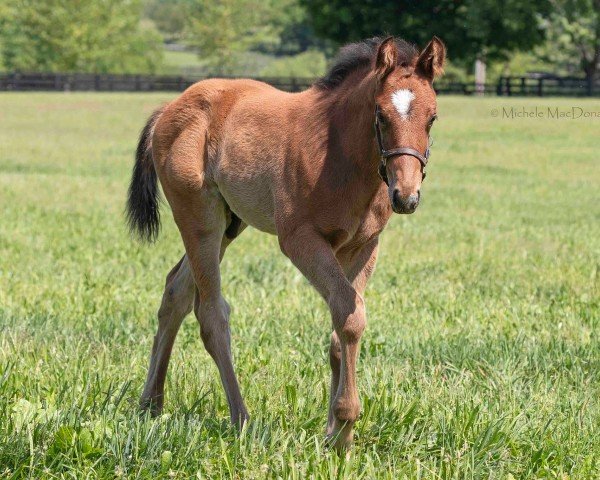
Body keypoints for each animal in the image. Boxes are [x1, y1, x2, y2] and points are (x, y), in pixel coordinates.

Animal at [127, 35, 446, 448]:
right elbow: (350, 316)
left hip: (231, 223)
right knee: (211, 313)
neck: (338, 153)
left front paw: (333, 433)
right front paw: (344, 429)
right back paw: (241, 418)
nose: (405, 196)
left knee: (175, 293)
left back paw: (151, 403)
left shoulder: (362, 246)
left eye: (432, 117)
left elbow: (342, 324)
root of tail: (169, 108)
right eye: (380, 115)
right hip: (200, 220)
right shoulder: (300, 240)